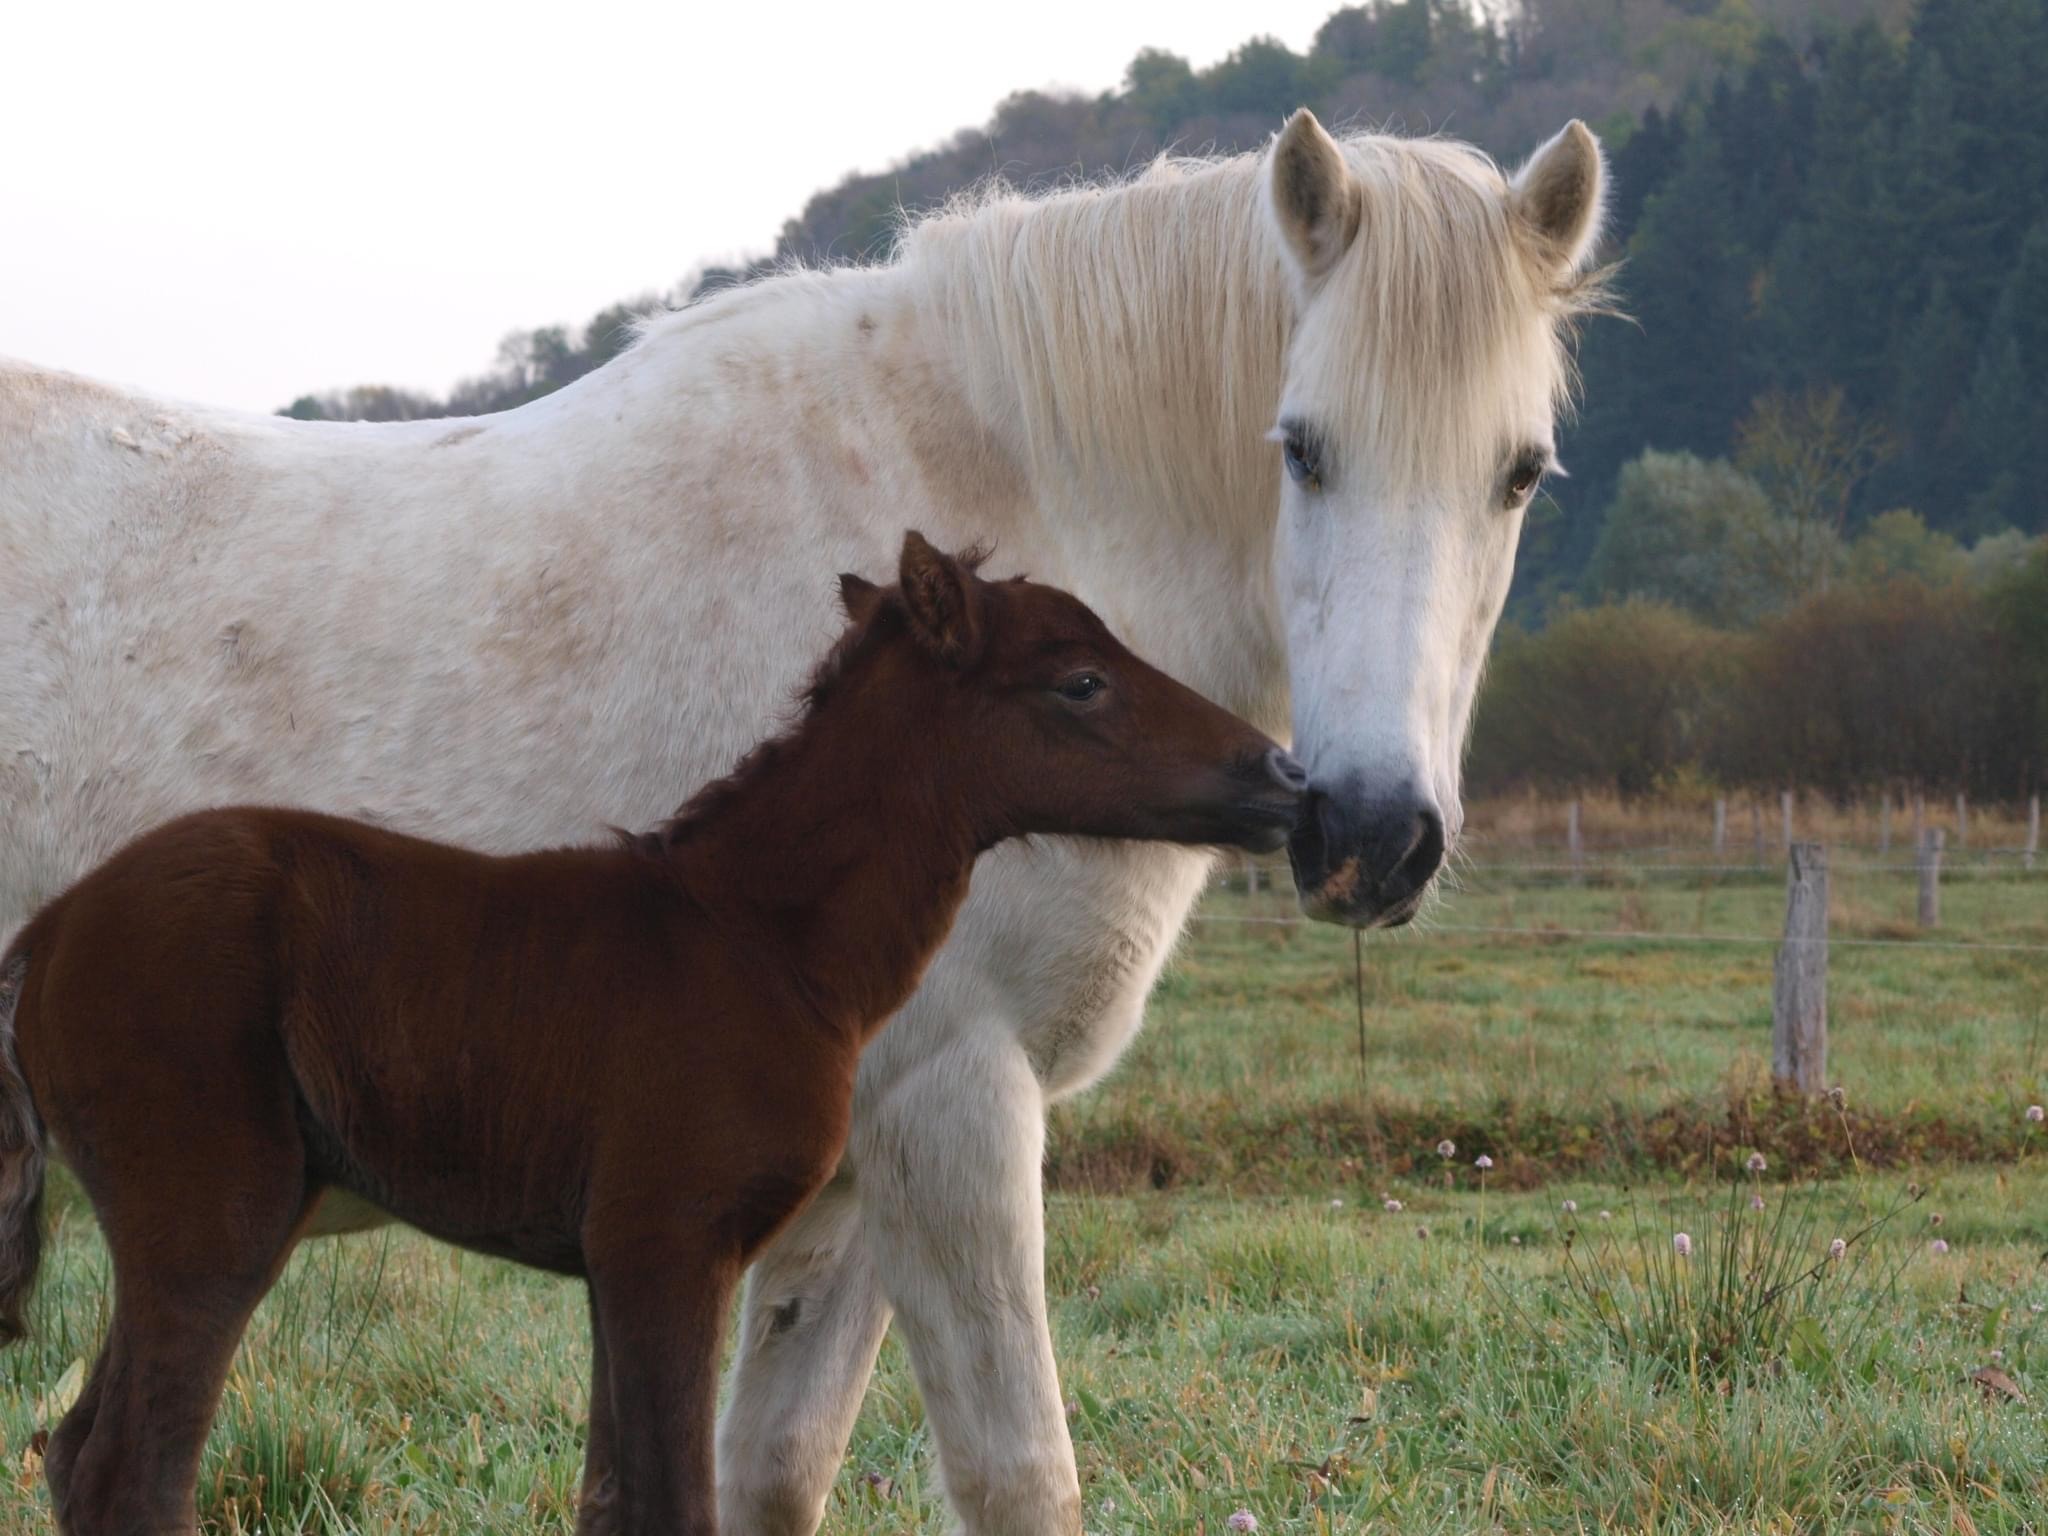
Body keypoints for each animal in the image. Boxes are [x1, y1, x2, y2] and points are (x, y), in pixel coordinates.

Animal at [0, 532, 1302, 1536]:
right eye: (1079, 682)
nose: (1282, 777)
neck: (764, 942)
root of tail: (45, 937)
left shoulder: (616, 1257)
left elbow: (616, 1498)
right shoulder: (667, 1241)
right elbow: (675, 1500)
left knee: (74, 1454)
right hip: (213, 1217)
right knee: (131, 1474)